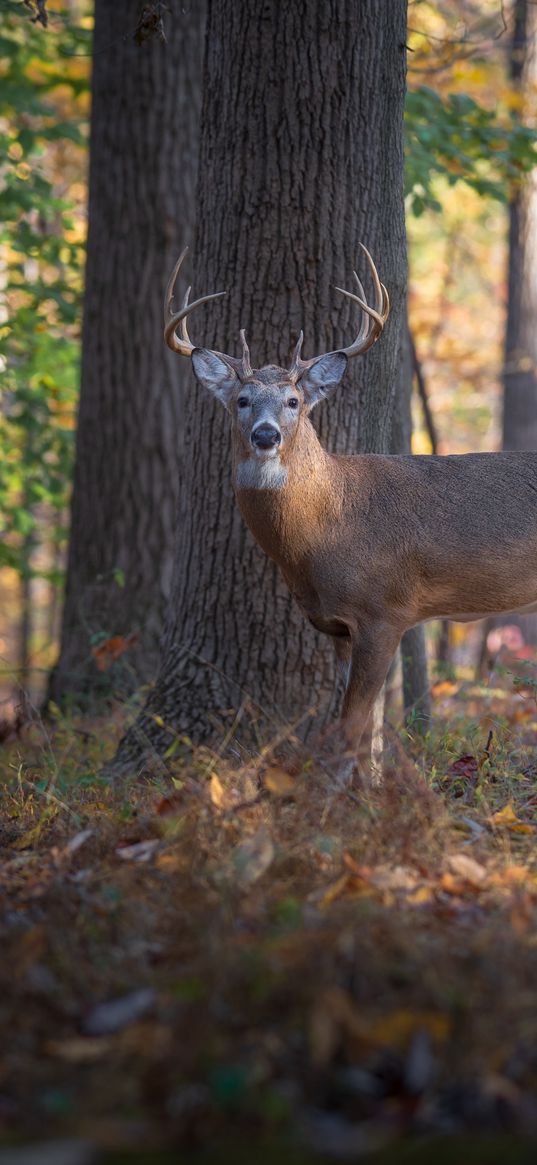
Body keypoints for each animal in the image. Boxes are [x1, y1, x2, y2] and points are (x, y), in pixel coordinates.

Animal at [161, 241, 535, 778]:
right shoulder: (338, 625)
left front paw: (342, 795)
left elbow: (352, 726)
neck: (327, 529)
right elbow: (370, 730)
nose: (266, 435)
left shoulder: (386, 610)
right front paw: (372, 786)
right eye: (242, 400)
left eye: (294, 400)